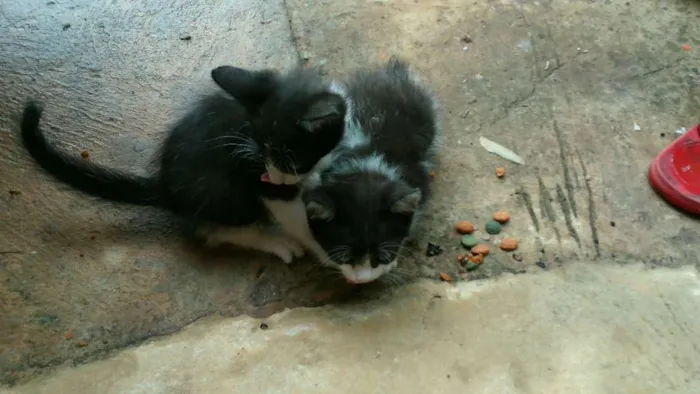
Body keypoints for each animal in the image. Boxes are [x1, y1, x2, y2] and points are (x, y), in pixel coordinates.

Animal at [20, 66, 348, 264]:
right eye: (261, 155)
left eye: (291, 160)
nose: (272, 176)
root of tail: (166, 186)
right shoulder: (261, 183)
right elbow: (295, 216)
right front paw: (327, 253)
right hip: (223, 192)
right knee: (214, 229)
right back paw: (274, 242)